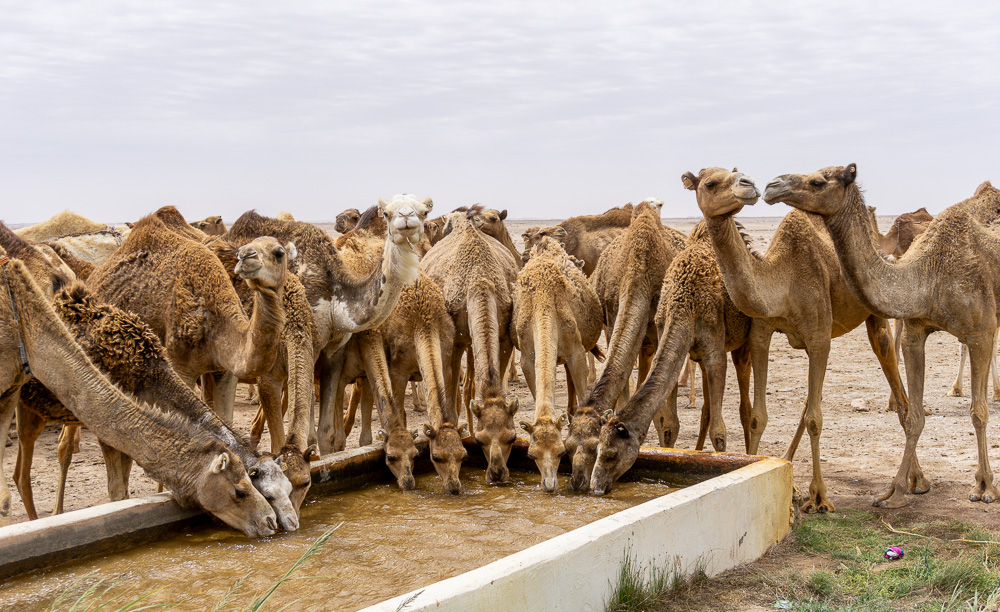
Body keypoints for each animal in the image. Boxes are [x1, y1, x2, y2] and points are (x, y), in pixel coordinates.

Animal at [88, 216, 290, 424]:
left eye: (279, 253)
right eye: (242, 249)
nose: (245, 256)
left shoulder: (226, 371)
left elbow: (226, 419)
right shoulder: (179, 365)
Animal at [421, 209, 519, 483]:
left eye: (513, 437)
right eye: (481, 441)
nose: (497, 473)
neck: (480, 281)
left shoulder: (504, 336)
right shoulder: (455, 340)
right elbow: (452, 388)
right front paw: (456, 433)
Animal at [513, 236, 603, 492]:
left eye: (562, 452)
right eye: (531, 455)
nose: (550, 484)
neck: (543, 302)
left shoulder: (576, 352)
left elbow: (584, 394)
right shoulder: (527, 358)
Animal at [689, 167, 912, 513]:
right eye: (710, 182)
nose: (750, 185)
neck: (782, 279)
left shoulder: (818, 337)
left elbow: (816, 420)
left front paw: (819, 497)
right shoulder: (762, 335)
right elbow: (758, 417)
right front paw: (755, 469)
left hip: (872, 315)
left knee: (895, 381)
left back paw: (909, 485)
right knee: (809, 399)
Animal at [765, 166, 1000, 507]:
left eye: (818, 181)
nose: (772, 186)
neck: (928, 276)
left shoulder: (980, 332)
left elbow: (978, 412)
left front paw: (984, 486)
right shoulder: (915, 332)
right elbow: (914, 415)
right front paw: (896, 491)